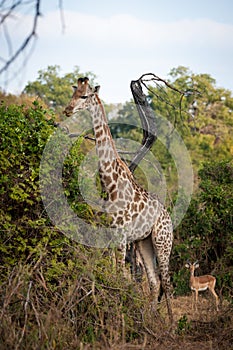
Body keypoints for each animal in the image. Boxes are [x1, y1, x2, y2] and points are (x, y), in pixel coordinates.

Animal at [63, 78, 173, 322]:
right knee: (154, 281)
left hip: (163, 242)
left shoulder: (122, 236)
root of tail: (168, 217)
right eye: (73, 93)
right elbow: (110, 271)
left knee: (167, 283)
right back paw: (151, 318)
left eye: (85, 96)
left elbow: (120, 276)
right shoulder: (108, 233)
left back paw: (171, 324)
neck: (110, 183)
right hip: (144, 242)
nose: (67, 110)